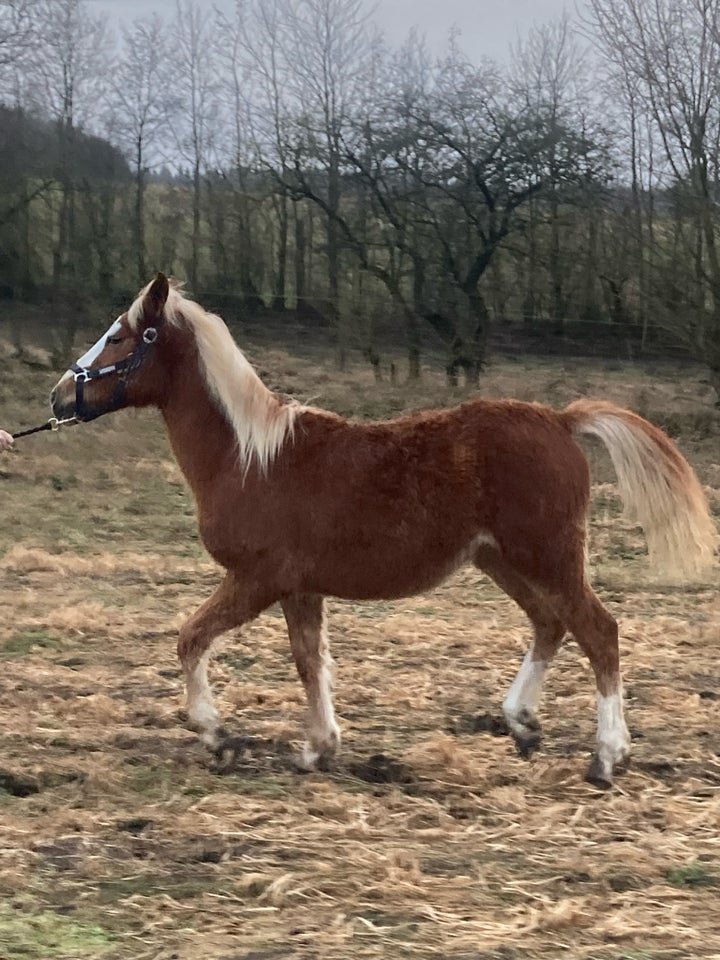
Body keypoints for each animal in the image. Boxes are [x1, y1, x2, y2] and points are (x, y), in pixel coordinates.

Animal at [49, 272, 716, 788]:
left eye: (120, 335)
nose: (58, 397)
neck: (247, 457)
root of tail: (559, 419)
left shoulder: (258, 579)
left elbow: (192, 639)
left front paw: (220, 738)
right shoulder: (300, 588)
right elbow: (309, 661)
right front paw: (318, 748)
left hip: (547, 556)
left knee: (599, 632)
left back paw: (606, 757)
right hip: (501, 560)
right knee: (551, 624)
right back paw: (522, 723)